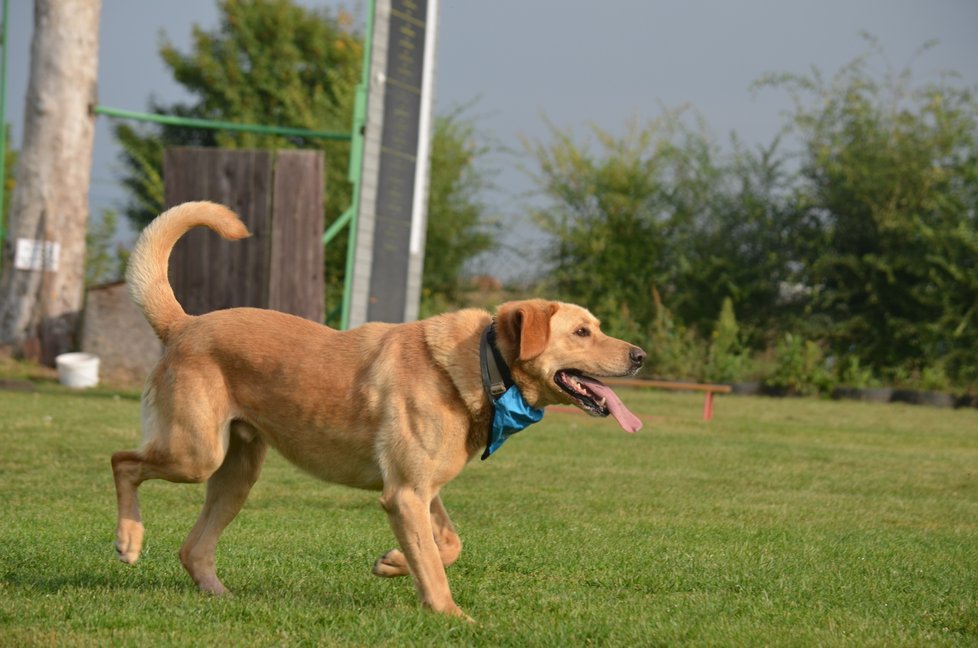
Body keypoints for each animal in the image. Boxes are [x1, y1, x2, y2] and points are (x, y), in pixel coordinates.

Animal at [110, 201, 644, 616]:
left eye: (597, 326)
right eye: (582, 332)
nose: (640, 356)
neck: (480, 364)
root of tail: (183, 324)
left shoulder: (423, 490)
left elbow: (447, 545)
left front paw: (391, 562)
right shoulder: (404, 494)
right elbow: (435, 571)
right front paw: (454, 619)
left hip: (236, 472)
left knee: (193, 548)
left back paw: (221, 594)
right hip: (195, 454)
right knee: (122, 462)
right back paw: (129, 540)